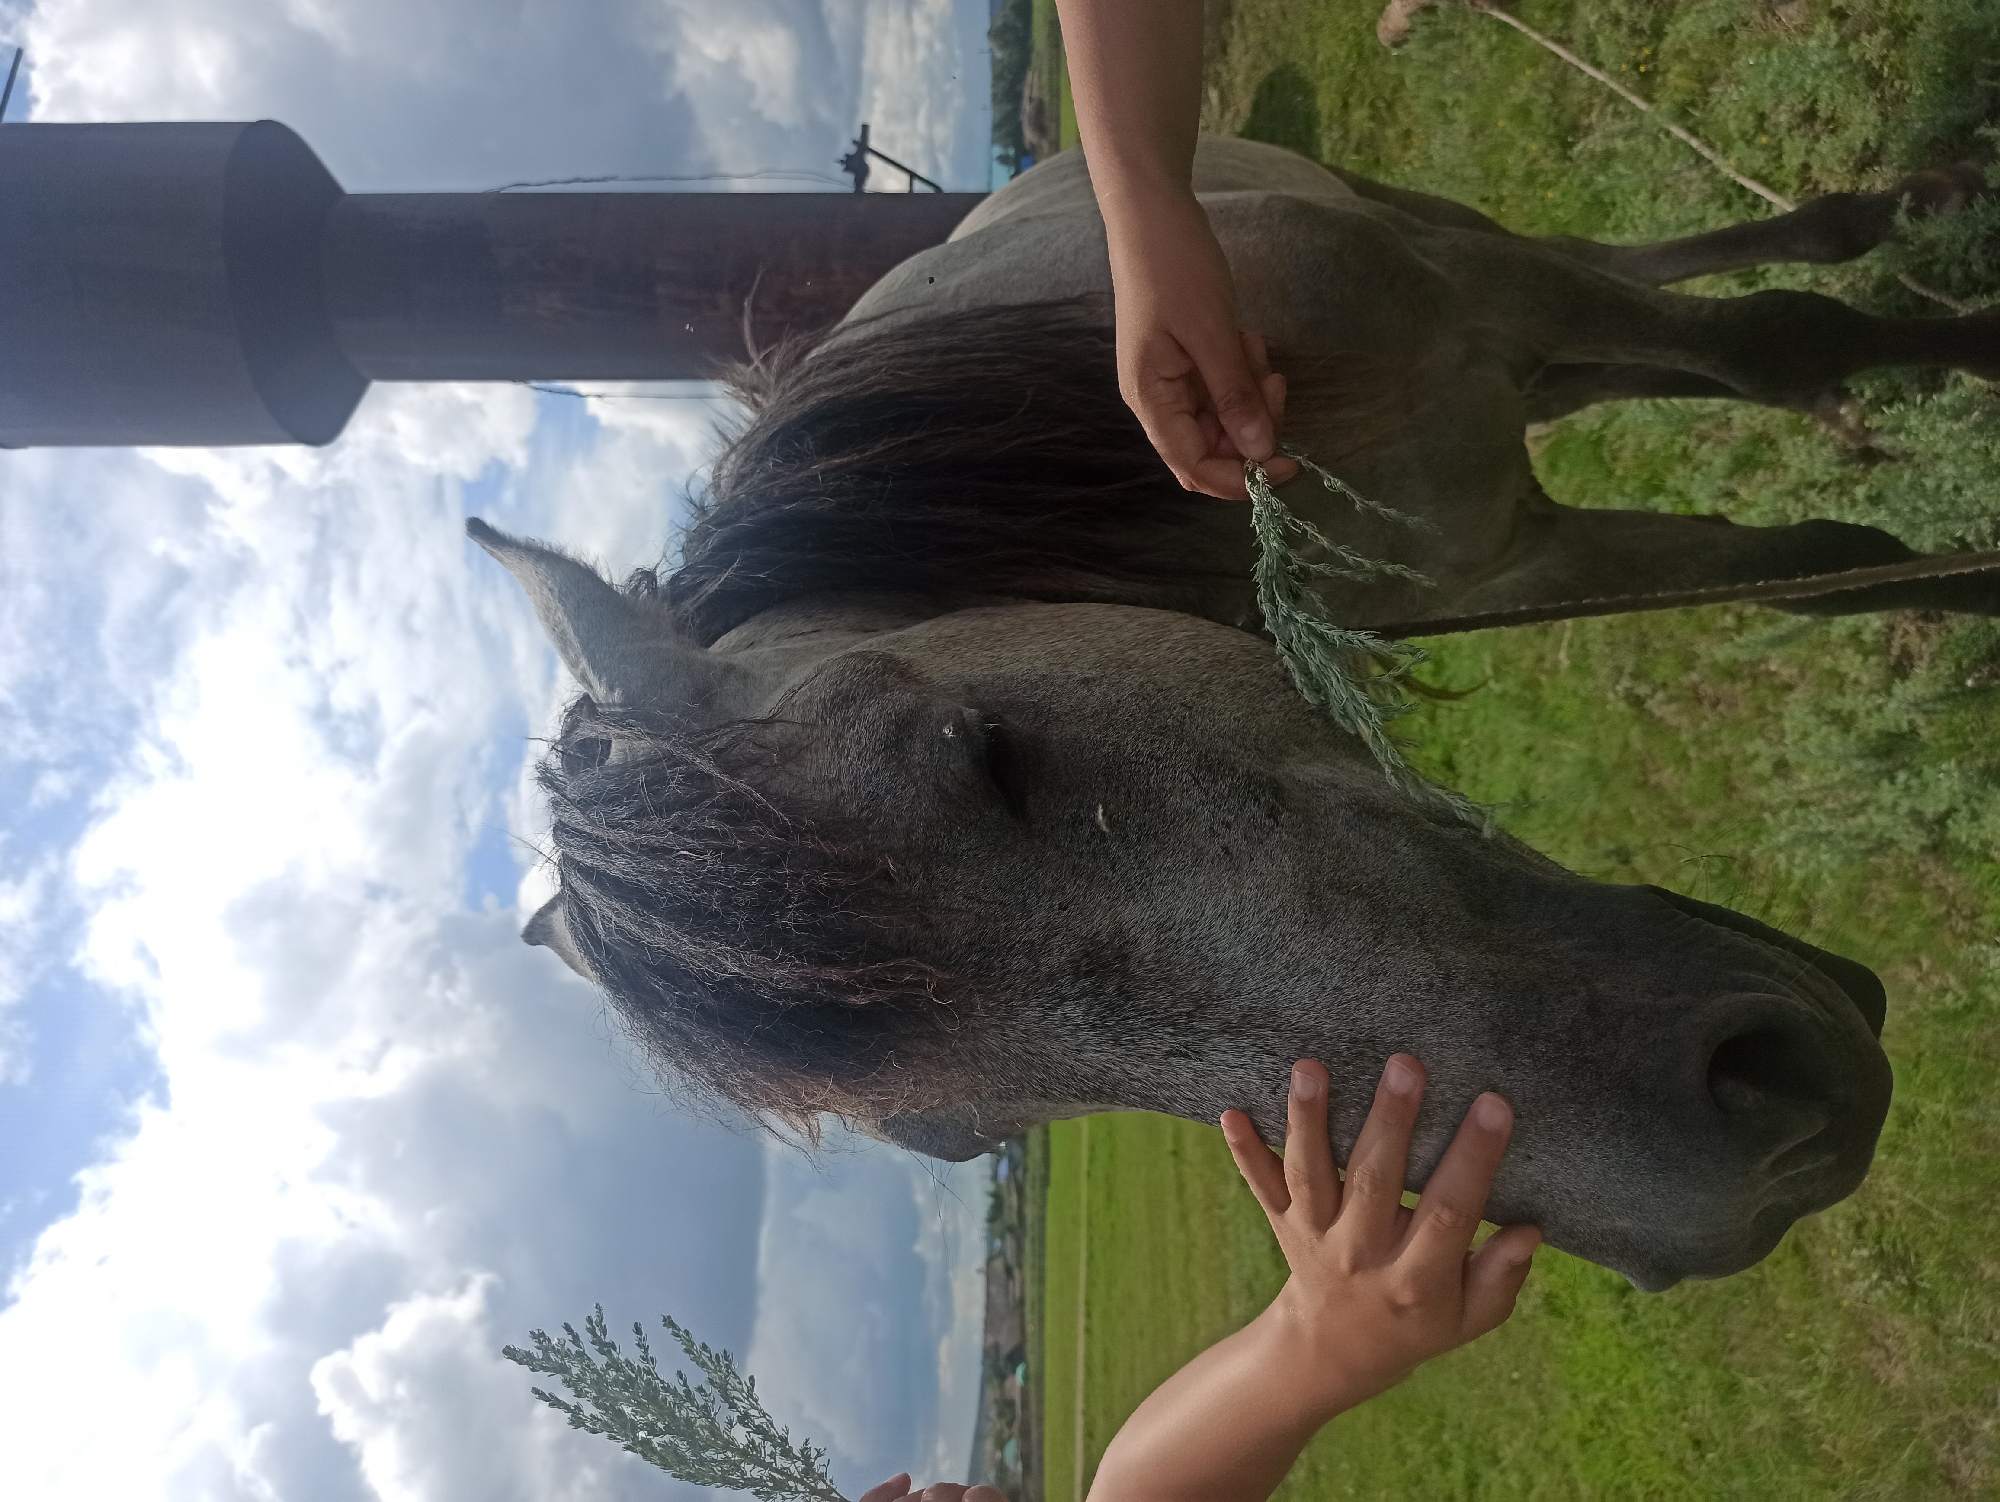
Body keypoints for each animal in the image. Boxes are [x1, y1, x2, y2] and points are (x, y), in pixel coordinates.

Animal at [470, 137, 1999, 1291]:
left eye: (981, 753)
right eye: (965, 1128)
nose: (1744, 1166)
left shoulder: (1496, 304)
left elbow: (1783, 347)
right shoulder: (1524, 554)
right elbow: (1827, 569)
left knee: (1677, 285)